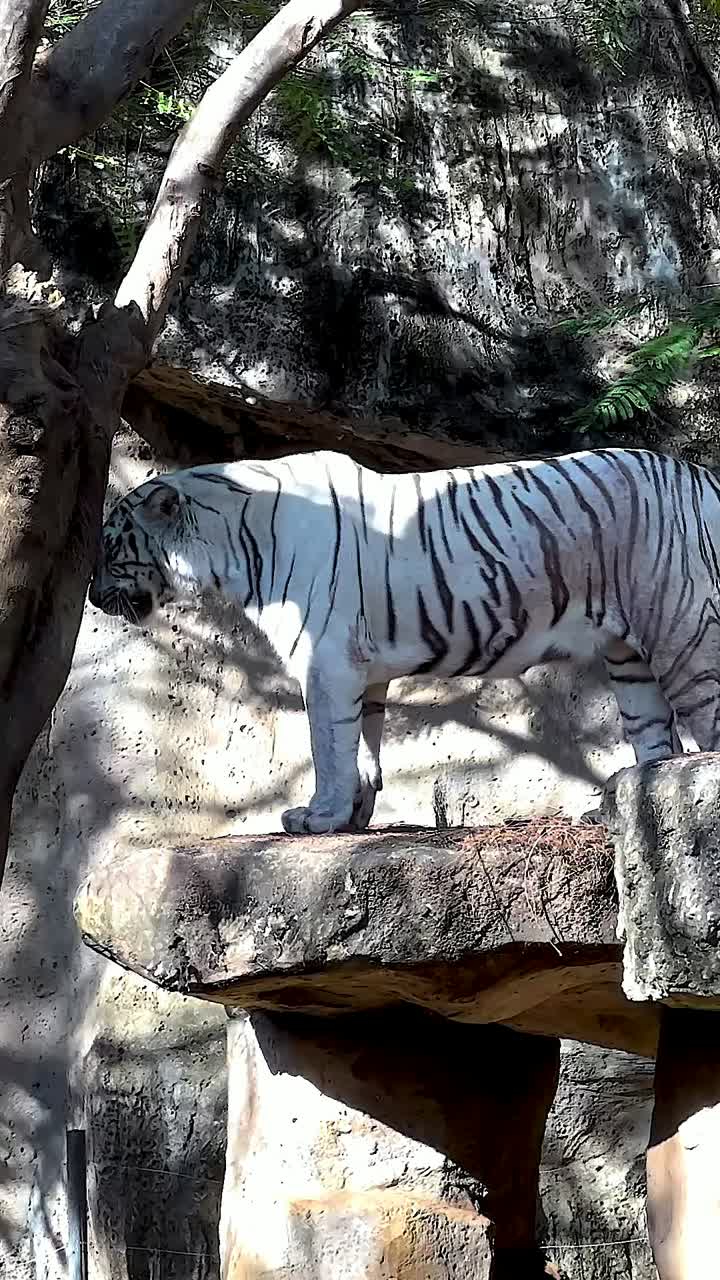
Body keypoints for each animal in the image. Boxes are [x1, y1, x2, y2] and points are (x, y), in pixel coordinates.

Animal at [89, 446, 720, 834]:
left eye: (111, 544)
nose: (92, 596)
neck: (230, 543)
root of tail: (702, 474)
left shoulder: (324, 664)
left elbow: (327, 745)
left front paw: (317, 817)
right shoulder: (360, 672)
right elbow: (361, 747)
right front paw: (351, 817)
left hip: (683, 626)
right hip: (630, 657)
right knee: (656, 738)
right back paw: (619, 812)